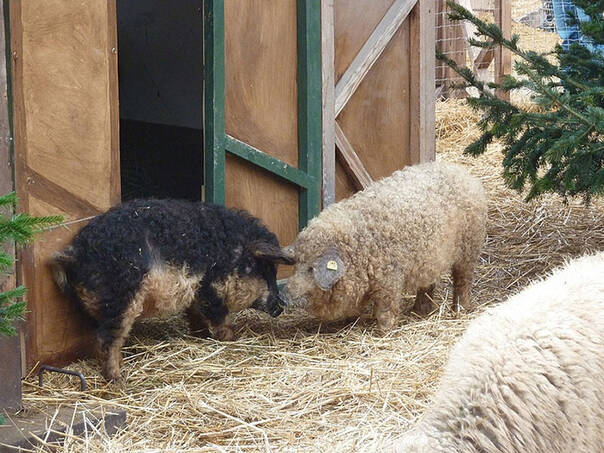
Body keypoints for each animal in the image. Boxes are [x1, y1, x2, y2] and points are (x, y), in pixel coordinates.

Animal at [48, 200, 294, 380]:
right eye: (267, 271)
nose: (280, 306)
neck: (232, 256)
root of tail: (74, 253)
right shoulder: (210, 287)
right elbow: (219, 318)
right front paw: (232, 338)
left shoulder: (196, 292)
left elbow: (196, 316)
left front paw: (202, 336)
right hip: (121, 296)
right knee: (108, 339)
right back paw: (118, 379)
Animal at [282, 161, 486, 330]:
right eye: (297, 265)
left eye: (311, 269)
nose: (283, 296)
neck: (359, 248)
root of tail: (462, 172)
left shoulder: (390, 277)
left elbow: (386, 307)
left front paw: (384, 331)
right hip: (430, 257)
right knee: (427, 283)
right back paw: (419, 312)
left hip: (470, 247)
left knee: (463, 280)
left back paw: (461, 310)